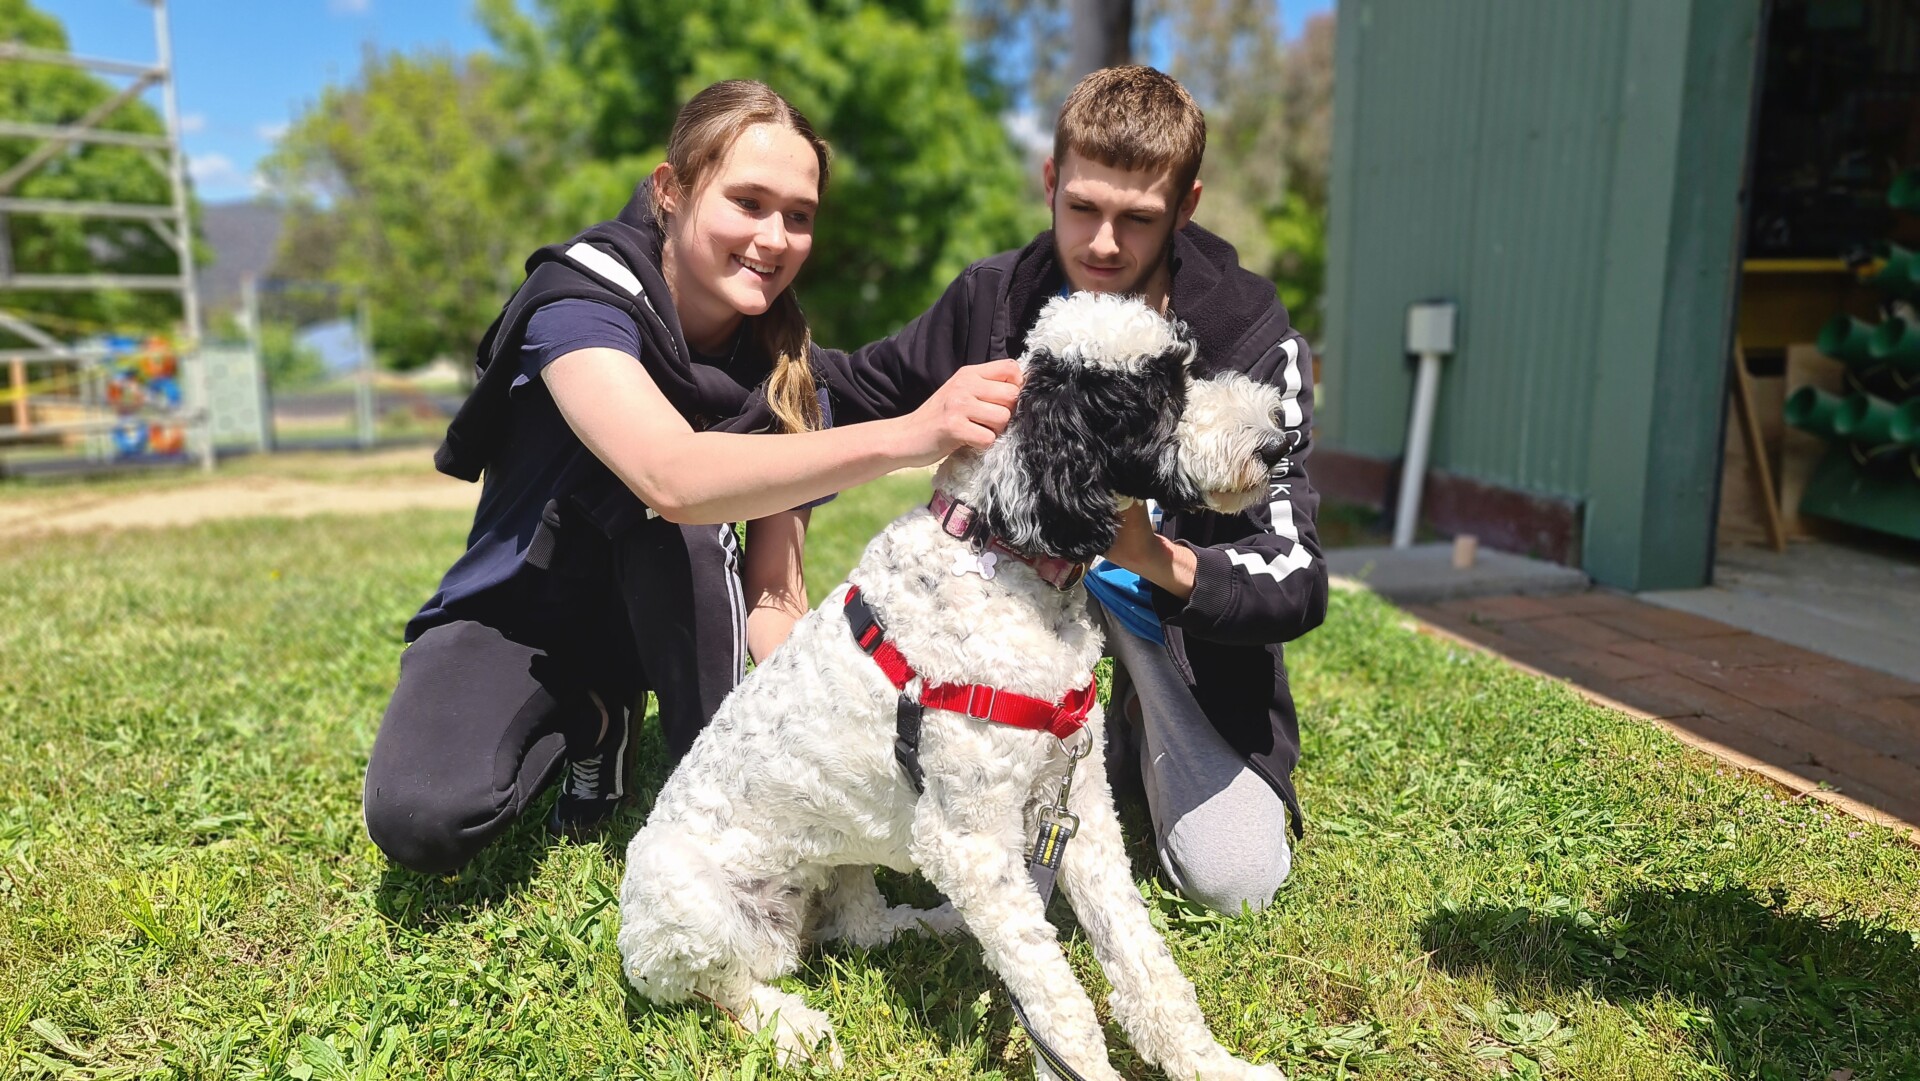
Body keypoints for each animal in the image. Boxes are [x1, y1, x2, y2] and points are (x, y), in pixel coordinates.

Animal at [622, 291, 1297, 1075]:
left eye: (1187, 363)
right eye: (1158, 394)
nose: (1279, 441)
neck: (999, 547)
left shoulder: (1079, 809)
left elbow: (1145, 960)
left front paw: (1212, 1064)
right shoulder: (970, 843)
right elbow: (1058, 1001)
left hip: (843, 857)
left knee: (863, 927)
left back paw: (931, 923)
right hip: (685, 906)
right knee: (725, 984)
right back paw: (791, 1025)